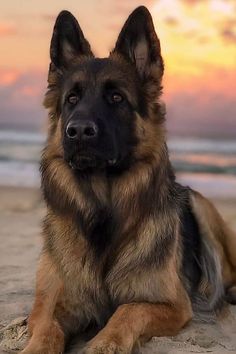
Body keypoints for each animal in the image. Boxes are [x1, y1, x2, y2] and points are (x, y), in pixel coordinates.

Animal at [20, 5, 236, 354]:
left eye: (117, 98)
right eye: (72, 99)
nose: (78, 131)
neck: (102, 214)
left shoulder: (171, 305)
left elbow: (127, 310)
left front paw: (103, 344)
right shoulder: (52, 305)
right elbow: (47, 328)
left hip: (200, 205)